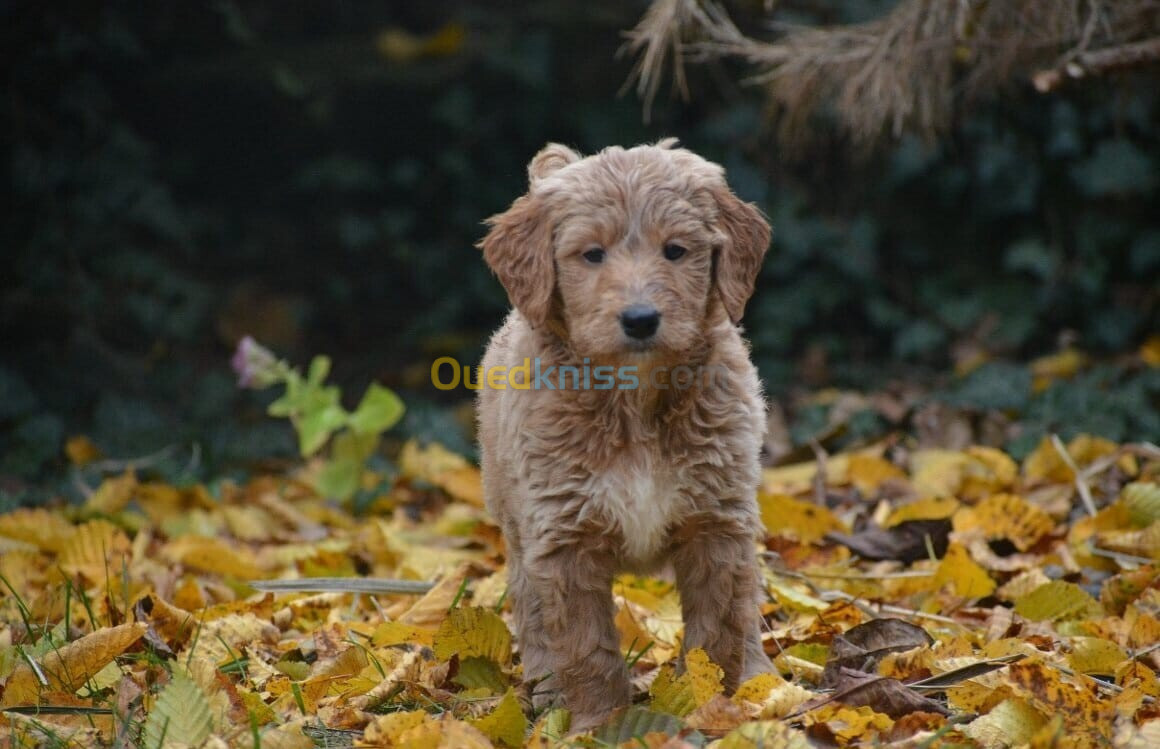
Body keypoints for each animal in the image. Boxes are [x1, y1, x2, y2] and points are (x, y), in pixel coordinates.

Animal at [475, 137, 774, 732]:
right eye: (593, 255)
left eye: (675, 251)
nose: (640, 318)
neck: (635, 402)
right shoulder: (561, 536)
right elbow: (585, 644)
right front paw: (597, 725)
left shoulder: (718, 523)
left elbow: (719, 629)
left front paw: (713, 706)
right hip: (516, 526)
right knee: (531, 610)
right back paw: (546, 693)